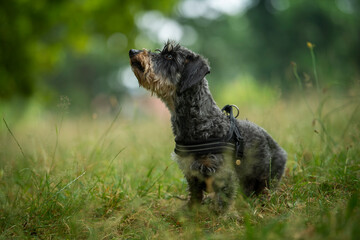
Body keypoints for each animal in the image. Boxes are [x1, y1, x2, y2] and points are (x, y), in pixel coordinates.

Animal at [129, 41, 286, 214]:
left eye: (169, 56)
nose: (133, 51)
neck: (202, 120)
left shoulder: (222, 173)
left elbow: (223, 201)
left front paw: (219, 217)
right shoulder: (191, 173)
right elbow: (195, 195)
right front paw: (191, 212)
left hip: (267, 176)